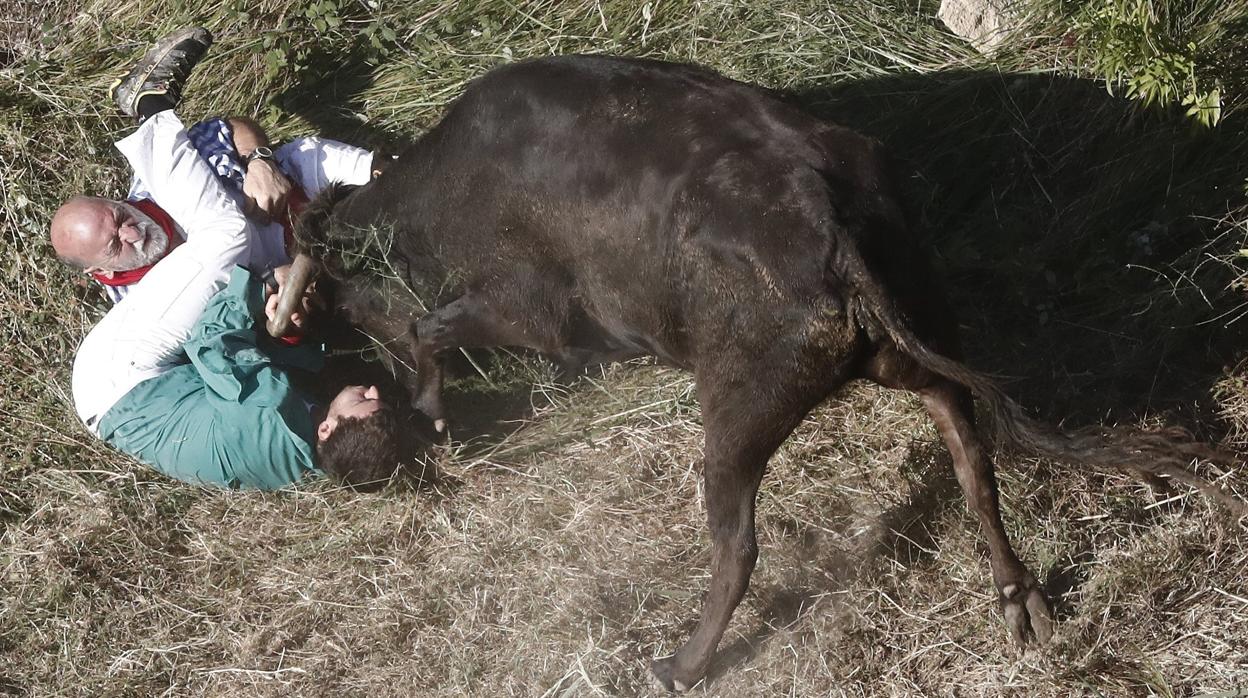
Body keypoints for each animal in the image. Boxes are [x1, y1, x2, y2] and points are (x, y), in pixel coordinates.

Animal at [273, 55, 1238, 694]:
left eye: (334, 301)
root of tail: (832, 224)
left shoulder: (527, 309)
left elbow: (434, 326)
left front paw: (434, 407)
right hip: (922, 349)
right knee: (972, 456)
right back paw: (1021, 599)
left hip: (735, 417)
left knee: (737, 542)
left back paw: (682, 663)